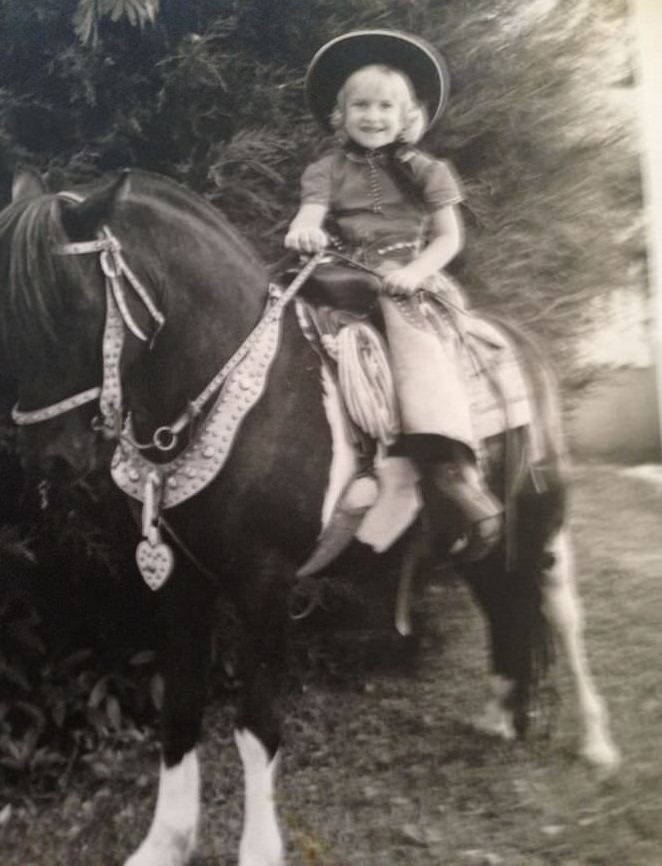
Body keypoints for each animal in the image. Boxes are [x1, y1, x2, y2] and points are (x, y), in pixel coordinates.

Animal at [1, 169, 624, 864]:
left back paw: (597, 744)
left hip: (545, 521)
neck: (254, 394)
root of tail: (522, 348)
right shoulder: (182, 582)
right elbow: (181, 709)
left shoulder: (265, 585)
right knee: (499, 603)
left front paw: (258, 849)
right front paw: (164, 843)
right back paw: (498, 714)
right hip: (473, 539)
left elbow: (256, 727)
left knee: (562, 616)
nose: (48, 457)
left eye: (72, 304)